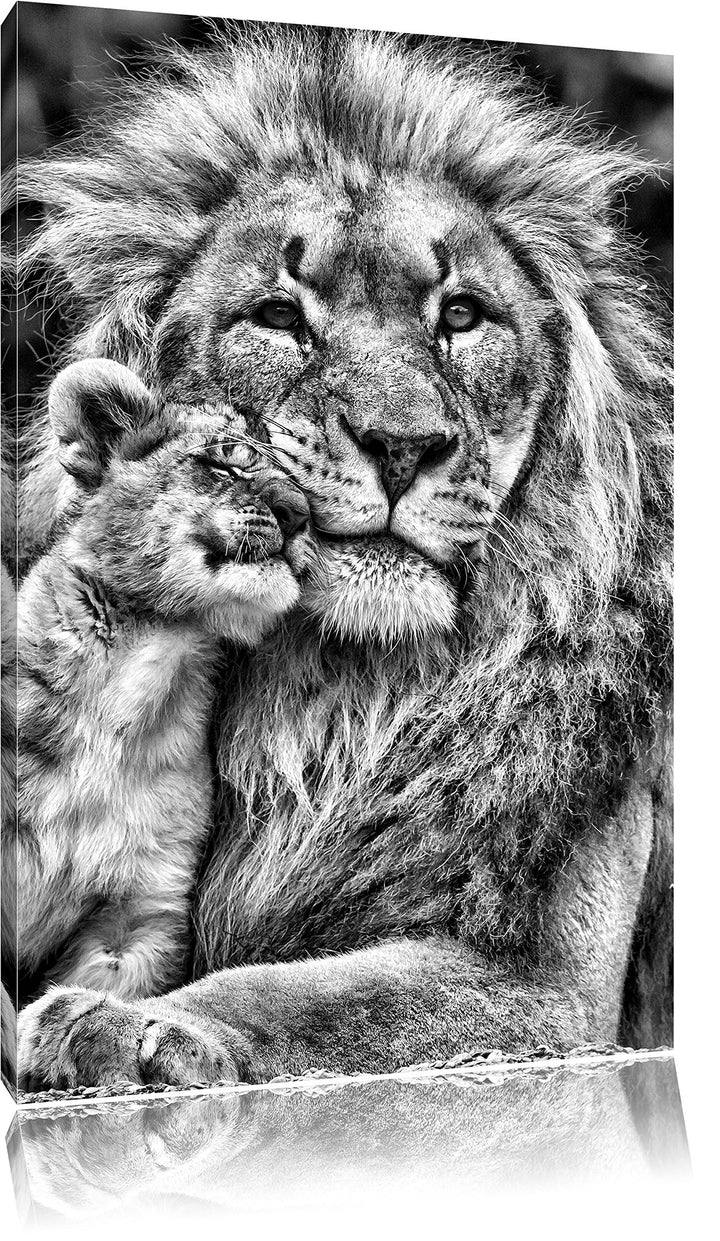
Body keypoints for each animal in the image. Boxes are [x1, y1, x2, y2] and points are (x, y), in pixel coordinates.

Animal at [7, 26, 672, 1091]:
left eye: (462, 315)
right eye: (279, 317)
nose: (403, 445)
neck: (335, 700)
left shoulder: (546, 987)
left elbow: (310, 991)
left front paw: (132, 1024)